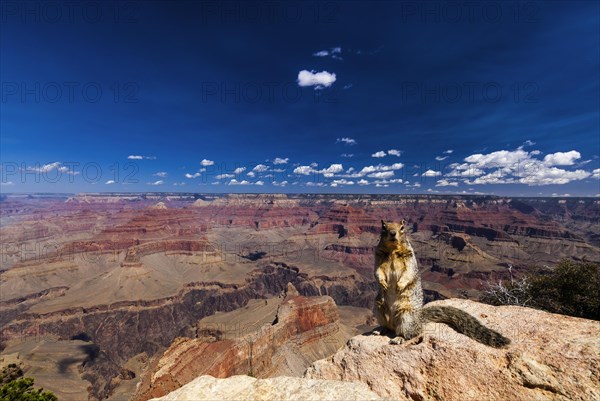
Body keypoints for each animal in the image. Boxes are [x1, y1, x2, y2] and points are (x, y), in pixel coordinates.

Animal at [376, 219, 510, 346]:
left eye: (402, 228)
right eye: (384, 227)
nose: (393, 233)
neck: (393, 250)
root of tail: (419, 319)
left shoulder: (410, 258)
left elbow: (408, 272)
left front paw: (399, 285)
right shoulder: (378, 256)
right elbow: (377, 271)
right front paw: (383, 283)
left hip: (406, 316)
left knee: (412, 333)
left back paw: (399, 338)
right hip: (379, 308)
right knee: (388, 326)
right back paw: (380, 329)